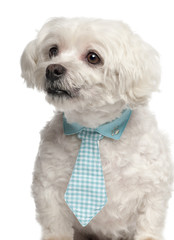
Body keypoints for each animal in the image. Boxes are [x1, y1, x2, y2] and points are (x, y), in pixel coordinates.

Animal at [20, 17, 173, 240]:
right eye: (53, 50)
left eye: (93, 57)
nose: (52, 69)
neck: (93, 130)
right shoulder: (49, 190)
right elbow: (56, 227)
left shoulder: (152, 190)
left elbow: (148, 225)